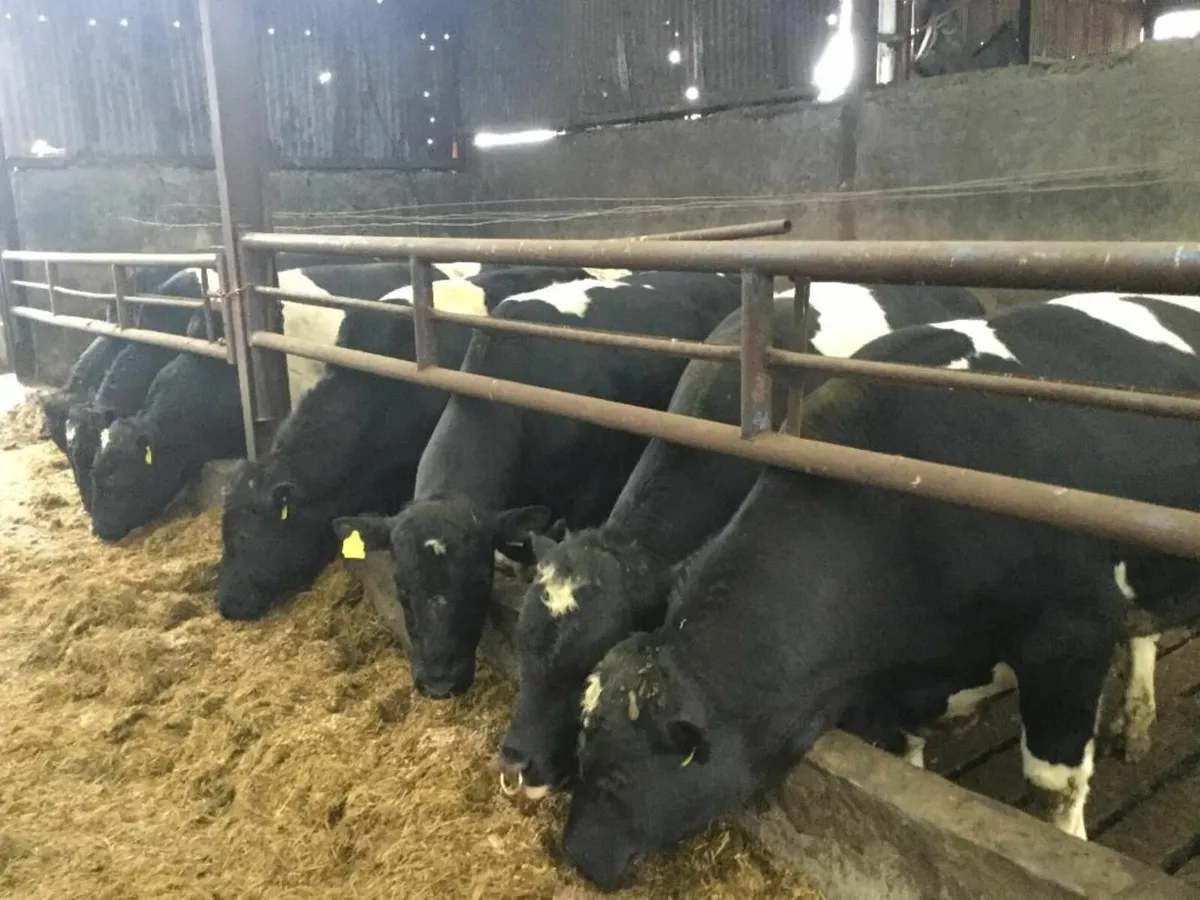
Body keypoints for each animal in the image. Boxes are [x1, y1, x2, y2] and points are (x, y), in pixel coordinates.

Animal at [561, 293, 1200, 889]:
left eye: (618, 773)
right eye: (581, 748)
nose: (573, 852)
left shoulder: (1068, 637)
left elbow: (1054, 786)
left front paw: (1068, 847)